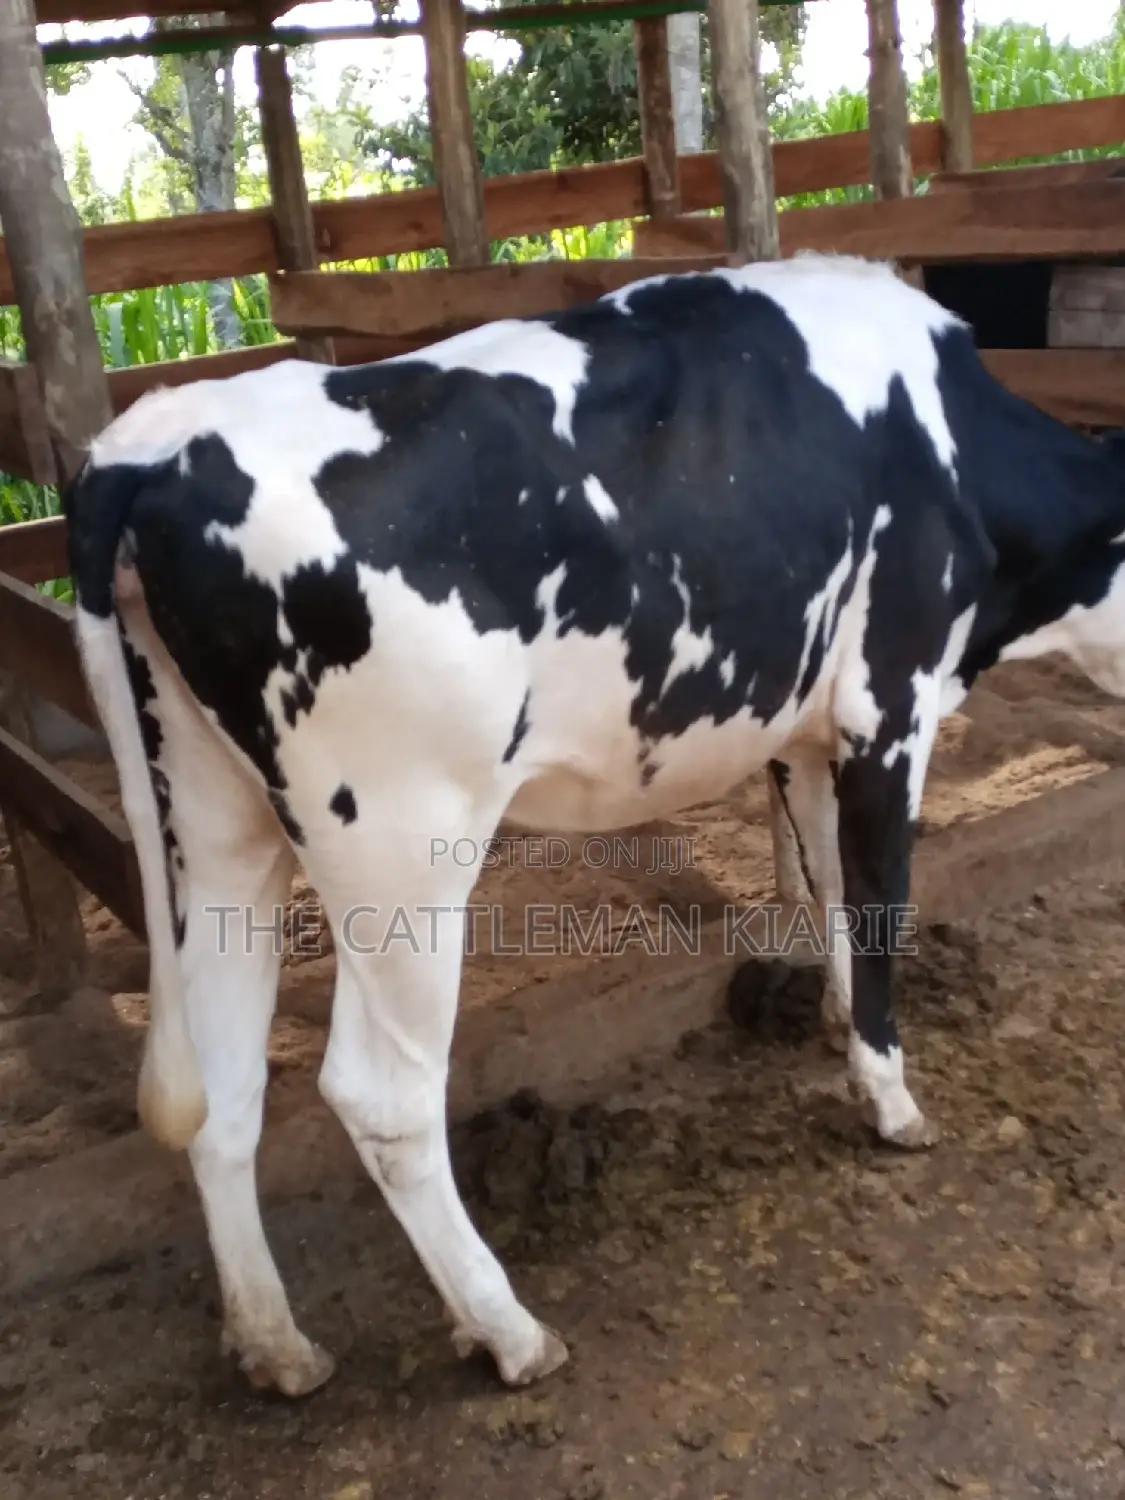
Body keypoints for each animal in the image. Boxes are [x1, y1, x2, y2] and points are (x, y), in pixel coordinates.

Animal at [65, 252, 1125, 1398]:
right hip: (401, 841)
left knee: (223, 1090)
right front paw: (890, 1100)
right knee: (380, 1096)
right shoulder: (890, 701)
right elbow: (881, 903)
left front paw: (840, 1026)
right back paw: (510, 1332)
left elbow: (832, 888)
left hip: (216, 824)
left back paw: (276, 1345)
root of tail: (152, 446)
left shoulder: (804, 731)